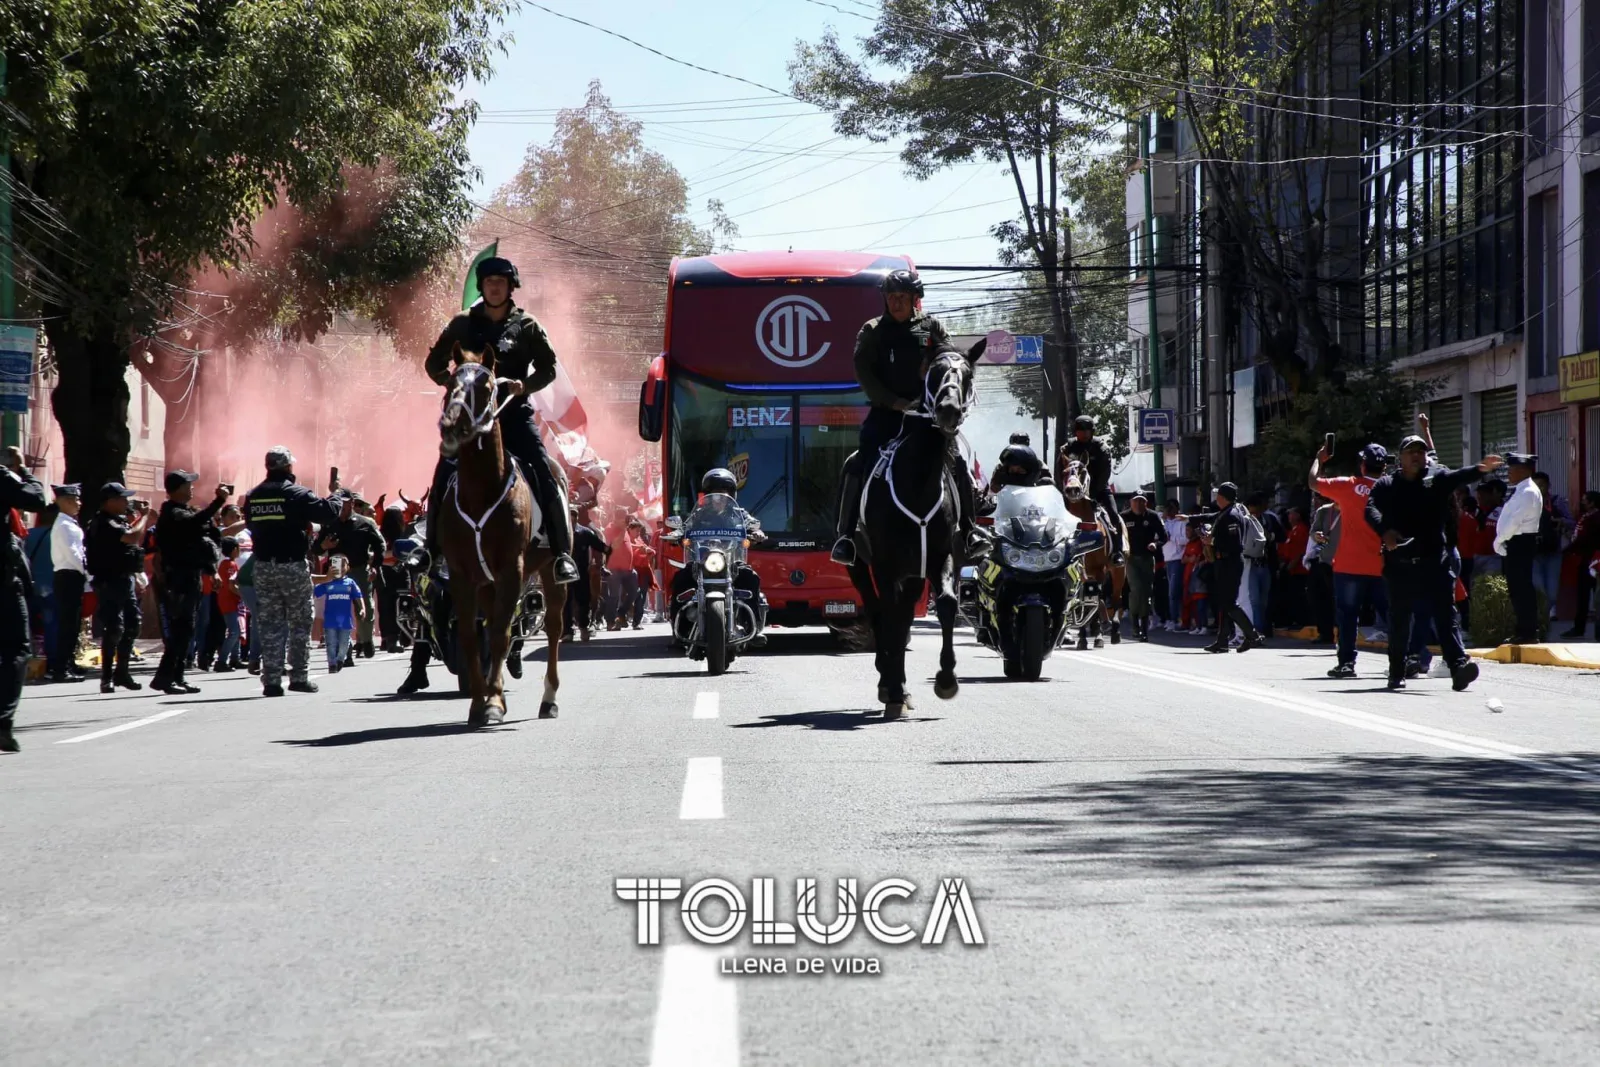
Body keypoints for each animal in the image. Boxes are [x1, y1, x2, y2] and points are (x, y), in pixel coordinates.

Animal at [432, 347, 569, 729]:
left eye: (487, 386)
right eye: (450, 383)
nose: (451, 427)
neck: (481, 490)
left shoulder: (512, 569)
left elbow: (501, 634)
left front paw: (493, 702)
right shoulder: (463, 575)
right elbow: (470, 637)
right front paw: (479, 703)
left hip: (550, 572)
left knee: (553, 627)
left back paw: (549, 699)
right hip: (488, 582)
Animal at [844, 343, 979, 716]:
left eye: (967, 375)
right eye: (934, 372)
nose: (948, 411)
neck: (918, 480)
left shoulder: (941, 556)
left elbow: (945, 604)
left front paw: (946, 680)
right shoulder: (885, 565)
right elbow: (888, 617)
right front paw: (891, 687)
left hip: (914, 573)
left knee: (902, 616)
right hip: (861, 566)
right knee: (881, 613)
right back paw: (888, 682)